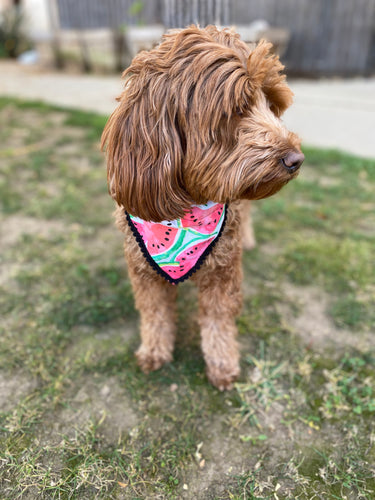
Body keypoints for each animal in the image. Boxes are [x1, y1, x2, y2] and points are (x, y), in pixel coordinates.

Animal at [101, 24, 304, 390]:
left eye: (271, 104)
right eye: (237, 109)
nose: (297, 159)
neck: (185, 209)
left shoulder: (222, 274)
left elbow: (217, 321)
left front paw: (222, 365)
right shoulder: (143, 272)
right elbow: (154, 315)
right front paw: (154, 351)